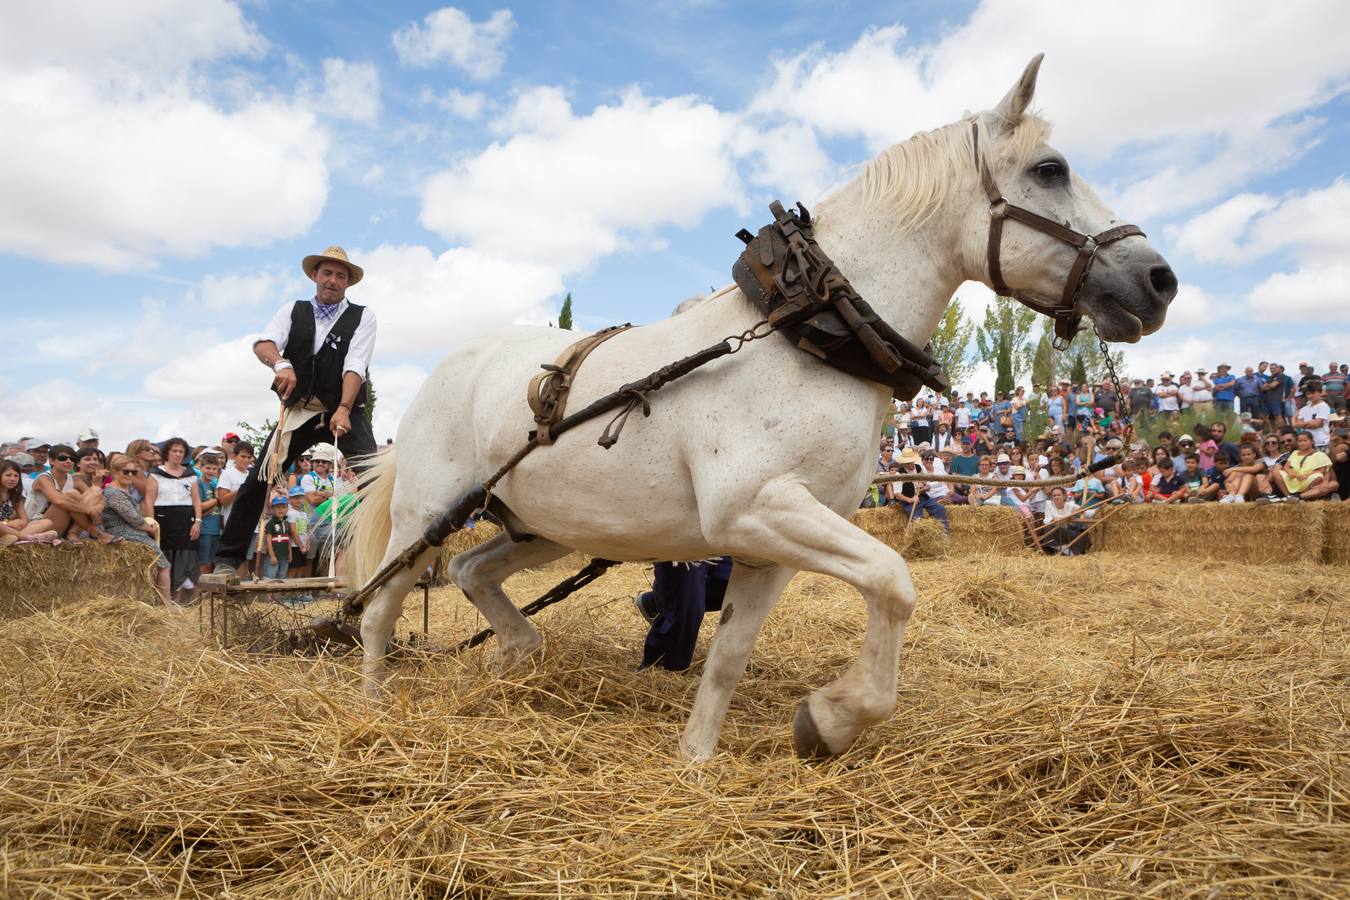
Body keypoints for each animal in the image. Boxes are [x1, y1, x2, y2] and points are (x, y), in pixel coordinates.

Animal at [345, 56, 1171, 761]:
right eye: (1050, 169)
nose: (1159, 280)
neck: (809, 333)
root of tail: (448, 369)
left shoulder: (773, 543)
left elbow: (730, 655)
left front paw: (702, 759)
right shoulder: (755, 509)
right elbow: (894, 580)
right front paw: (833, 718)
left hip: (543, 526)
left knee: (471, 571)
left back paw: (517, 657)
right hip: (424, 517)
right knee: (379, 610)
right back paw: (374, 712)